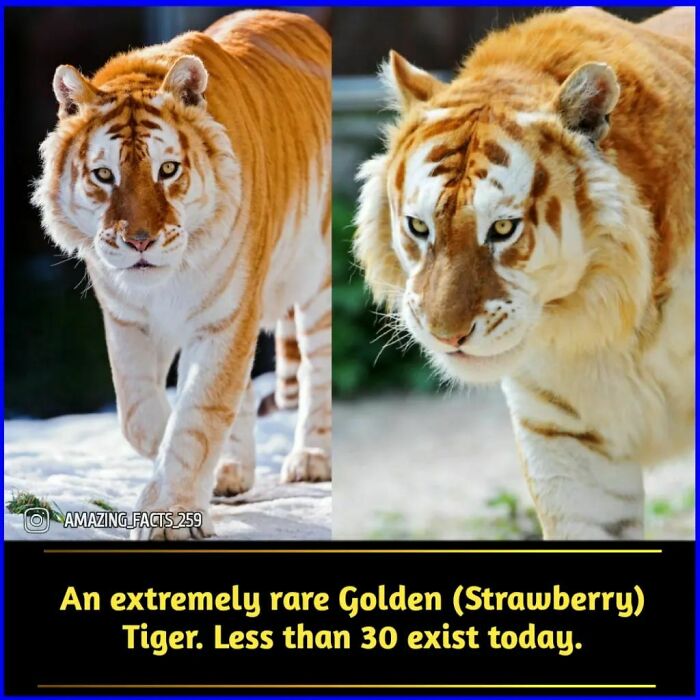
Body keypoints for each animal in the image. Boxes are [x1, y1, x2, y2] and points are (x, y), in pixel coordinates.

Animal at [32, 9, 332, 540]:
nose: (139, 241)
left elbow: (197, 416)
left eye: (167, 169)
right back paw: (231, 472)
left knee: (318, 369)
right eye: (105, 175)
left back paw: (312, 457)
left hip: (318, 281)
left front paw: (171, 512)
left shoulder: (226, 319)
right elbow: (142, 416)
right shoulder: (127, 321)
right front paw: (175, 483)